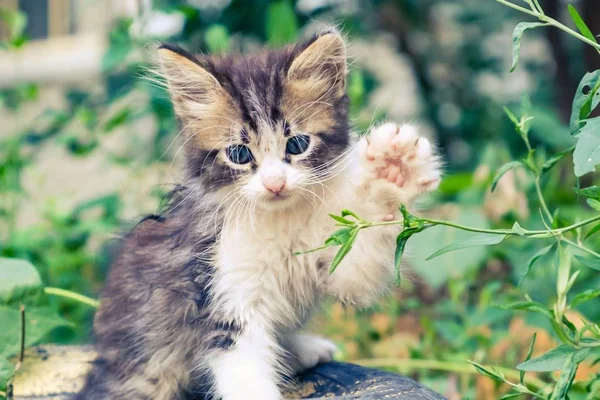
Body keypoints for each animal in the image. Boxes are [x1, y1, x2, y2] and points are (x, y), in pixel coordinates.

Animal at [77, 30, 440, 400]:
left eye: (297, 145)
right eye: (239, 154)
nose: (274, 184)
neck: (278, 220)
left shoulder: (336, 253)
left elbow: (358, 273)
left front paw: (393, 171)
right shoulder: (222, 291)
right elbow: (245, 374)